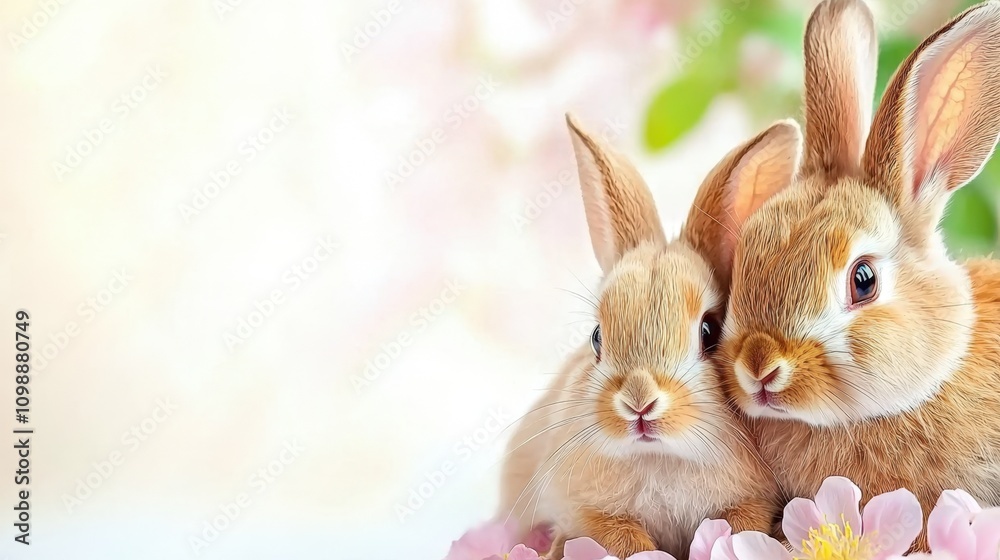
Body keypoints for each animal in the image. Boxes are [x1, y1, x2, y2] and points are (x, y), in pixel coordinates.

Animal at [497, 114, 801, 559]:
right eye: (596, 337)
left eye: (709, 331)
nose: (638, 402)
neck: (660, 457)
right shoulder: (586, 510)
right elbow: (620, 537)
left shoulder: (753, 500)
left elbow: (738, 524)